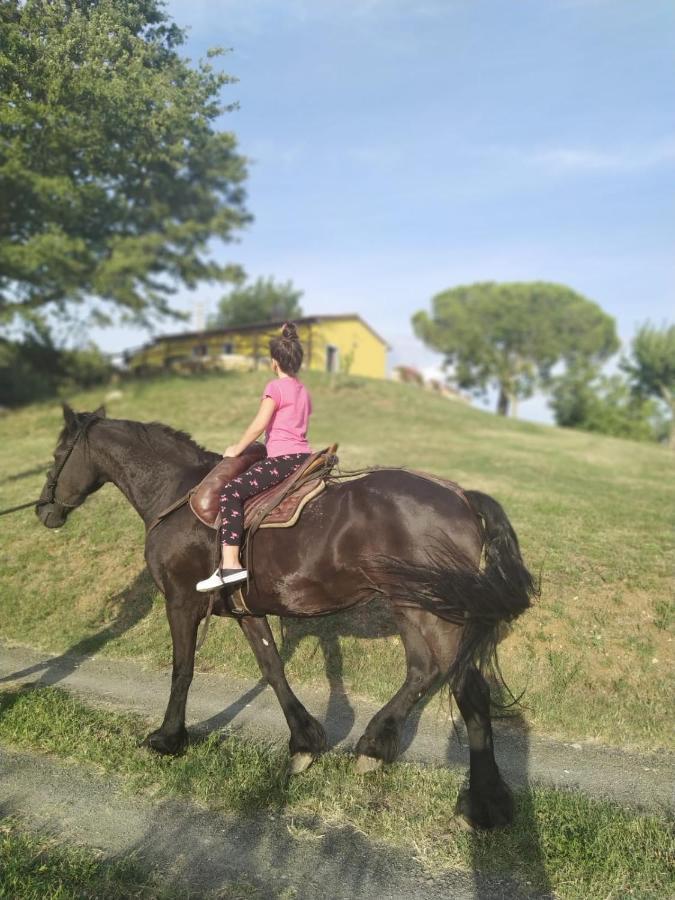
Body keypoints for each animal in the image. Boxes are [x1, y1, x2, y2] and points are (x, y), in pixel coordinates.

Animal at [37, 406, 536, 828]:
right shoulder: (247, 609)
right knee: (422, 670)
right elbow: (273, 669)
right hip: (410, 605)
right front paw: (304, 743)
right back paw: (374, 747)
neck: (177, 494)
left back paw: (484, 803)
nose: (44, 510)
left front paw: (168, 738)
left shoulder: (180, 602)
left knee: (468, 690)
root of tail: (462, 497)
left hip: (435, 612)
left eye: (59, 455)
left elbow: (183, 669)